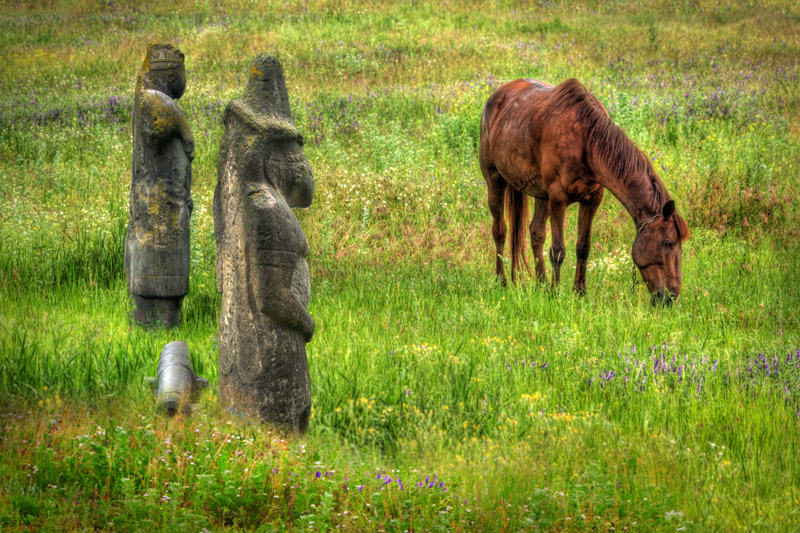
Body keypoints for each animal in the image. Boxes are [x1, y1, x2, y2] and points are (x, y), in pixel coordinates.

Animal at [478, 77, 692, 306]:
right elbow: (558, 250)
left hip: (540, 194)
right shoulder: (558, 198)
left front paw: (579, 292)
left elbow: (583, 247)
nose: (671, 297)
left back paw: (541, 284)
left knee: (536, 233)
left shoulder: (591, 199)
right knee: (500, 231)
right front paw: (555, 294)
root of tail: (496, 96)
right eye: (668, 243)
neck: (586, 141)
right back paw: (502, 282)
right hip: (495, 180)